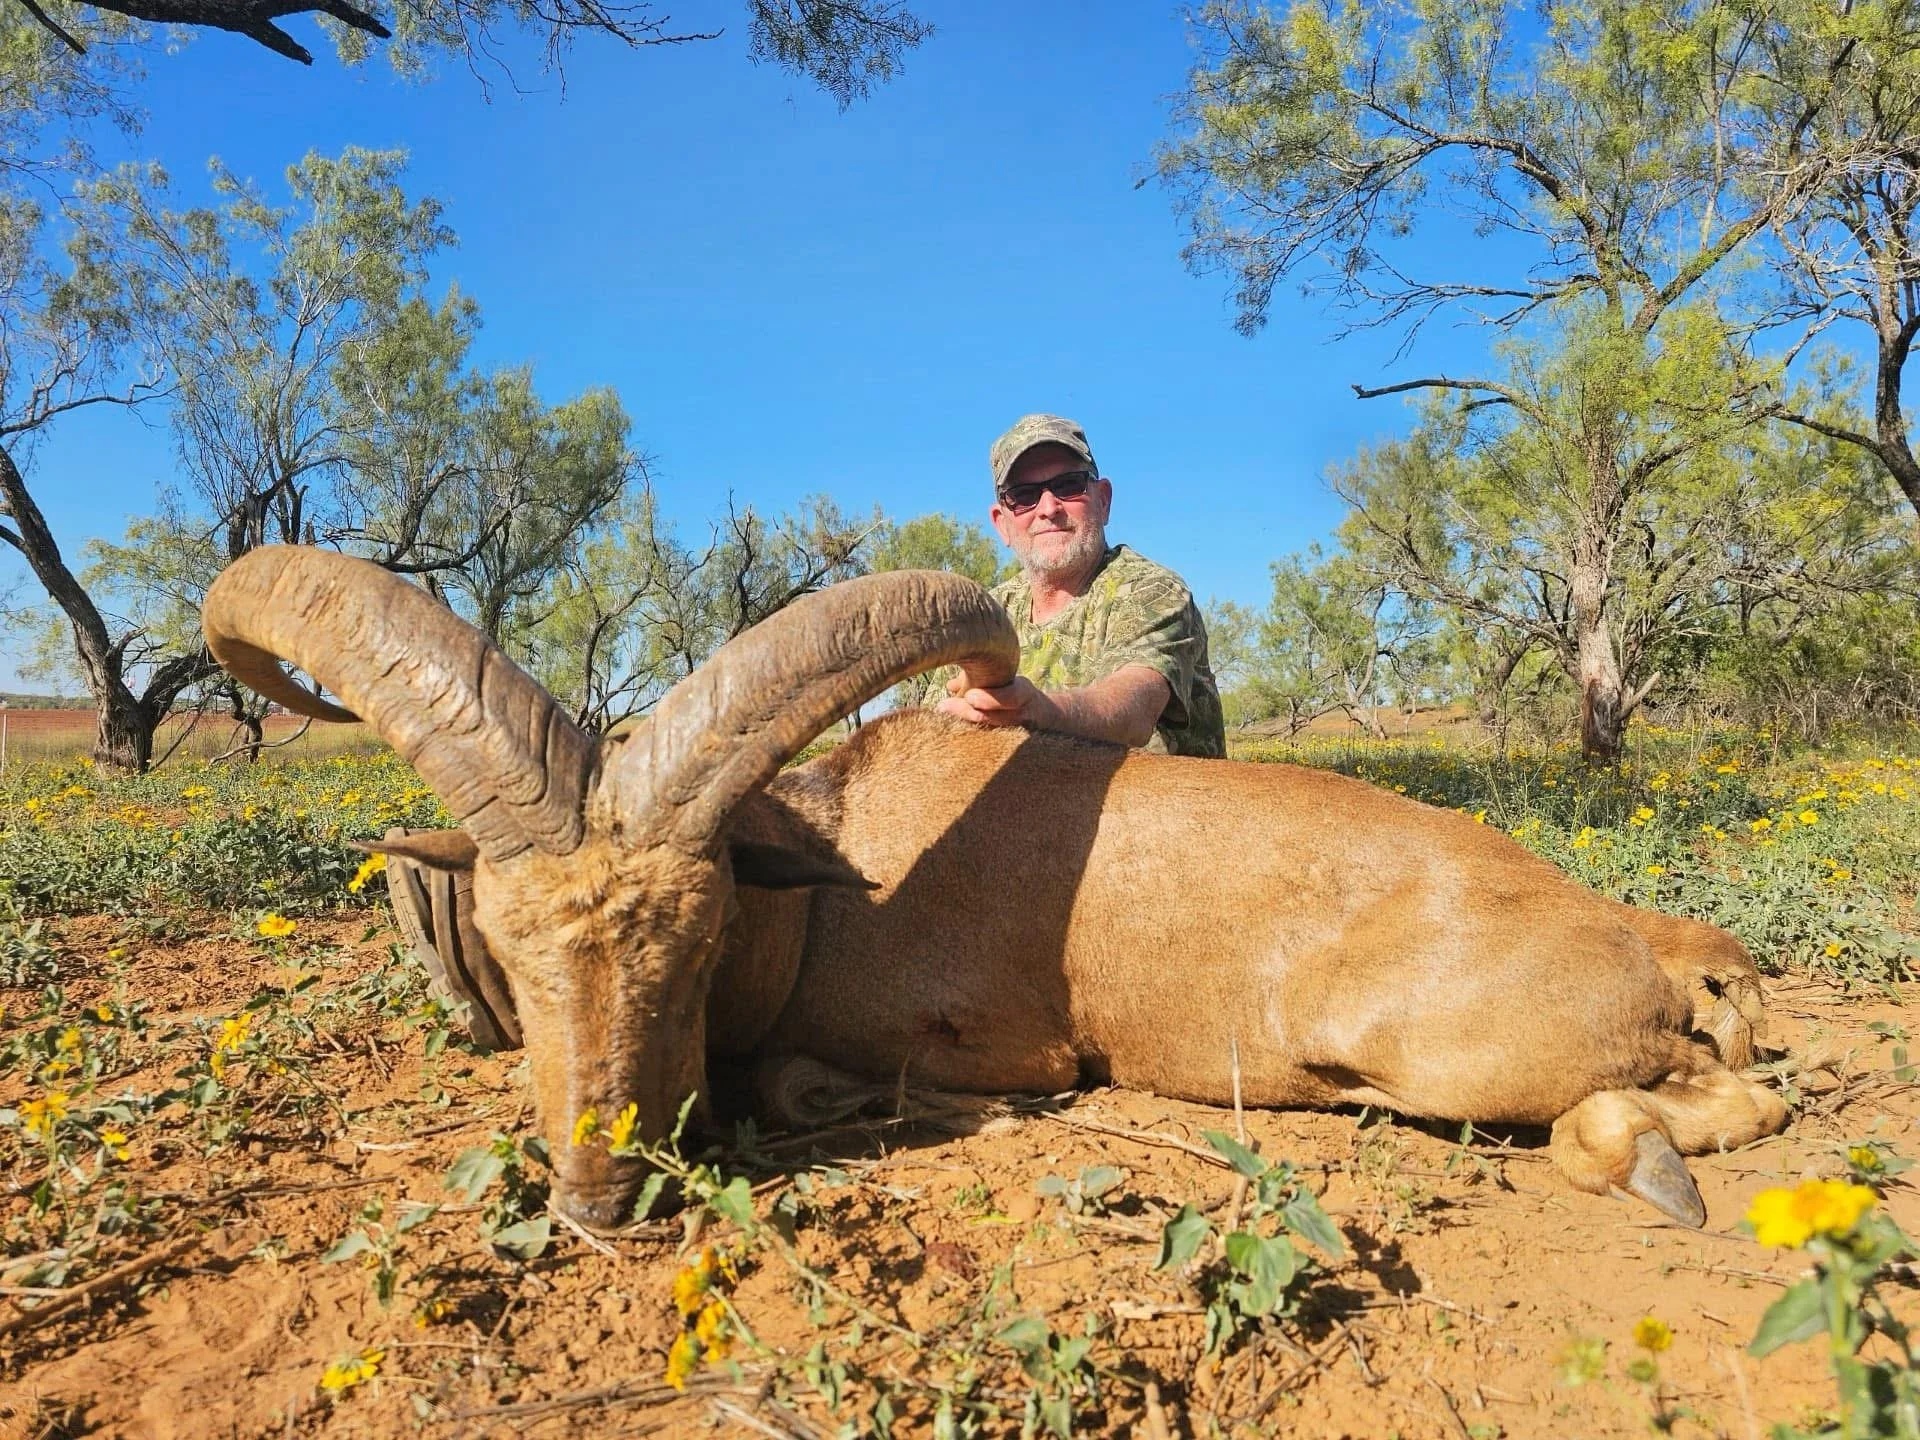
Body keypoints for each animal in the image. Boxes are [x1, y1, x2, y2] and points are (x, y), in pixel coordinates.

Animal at [202, 545, 1786, 1231]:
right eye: (514, 953)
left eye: (699, 940)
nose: (601, 1193)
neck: (833, 888)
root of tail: (1654, 942)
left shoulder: (1003, 1040)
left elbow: (809, 1080)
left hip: (1433, 1048)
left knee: (1717, 1100)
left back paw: (1643, 1167)